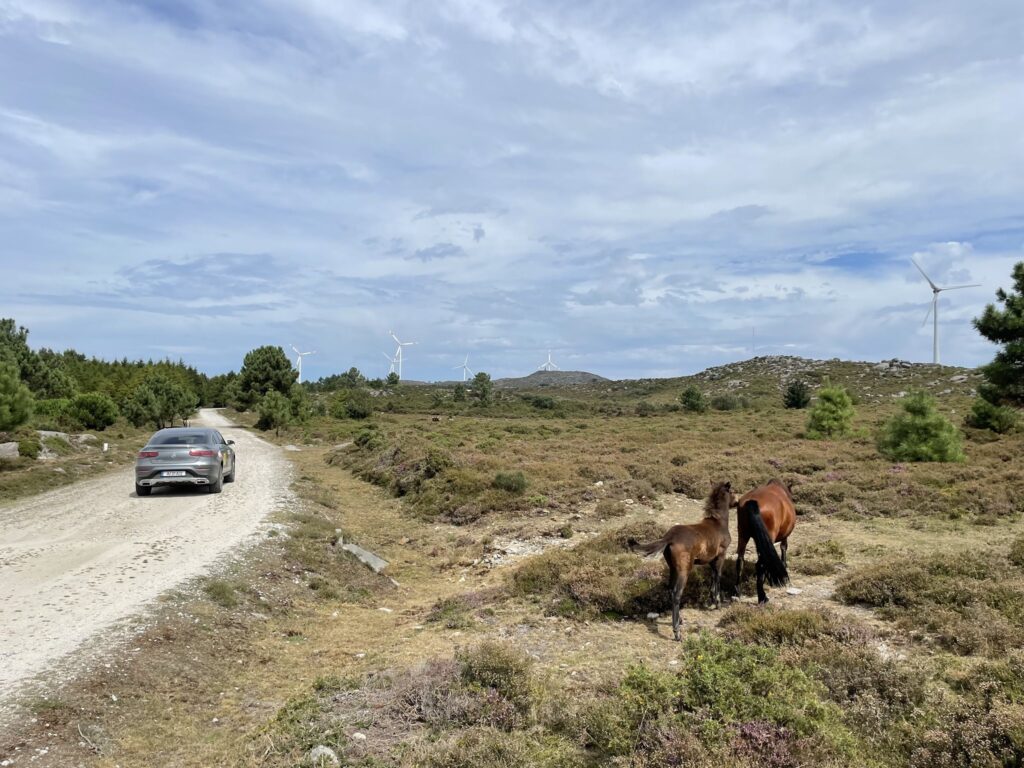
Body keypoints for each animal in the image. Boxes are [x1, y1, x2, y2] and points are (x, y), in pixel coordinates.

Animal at [630, 483, 737, 638]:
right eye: (733, 492)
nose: (737, 502)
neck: (718, 523)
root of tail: (669, 537)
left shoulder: (710, 560)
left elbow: (712, 579)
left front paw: (712, 600)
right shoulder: (720, 556)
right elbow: (717, 578)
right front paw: (717, 603)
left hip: (673, 568)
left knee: (670, 589)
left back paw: (679, 621)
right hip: (684, 570)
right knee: (676, 593)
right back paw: (677, 632)